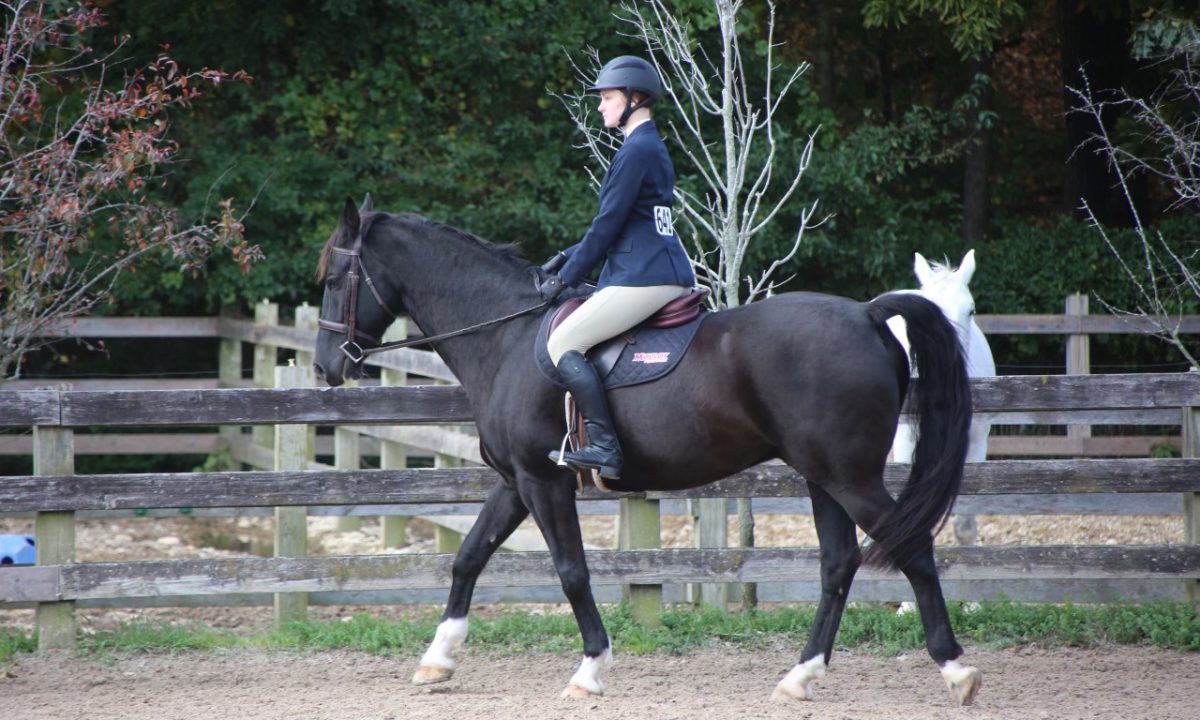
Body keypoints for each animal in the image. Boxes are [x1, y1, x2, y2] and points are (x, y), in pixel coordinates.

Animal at [314, 195, 979, 700]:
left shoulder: (543, 481)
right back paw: (800, 676)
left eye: (335, 279)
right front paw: (438, 657)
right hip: (824, 477)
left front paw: (589, 670)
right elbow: (468, 557)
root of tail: (867, 314)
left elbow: (571, 571)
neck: (505, 336)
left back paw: (957, 670)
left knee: (912, 549)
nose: (325, 368)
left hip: (850, 477)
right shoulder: (515, 482)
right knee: (839, 564)